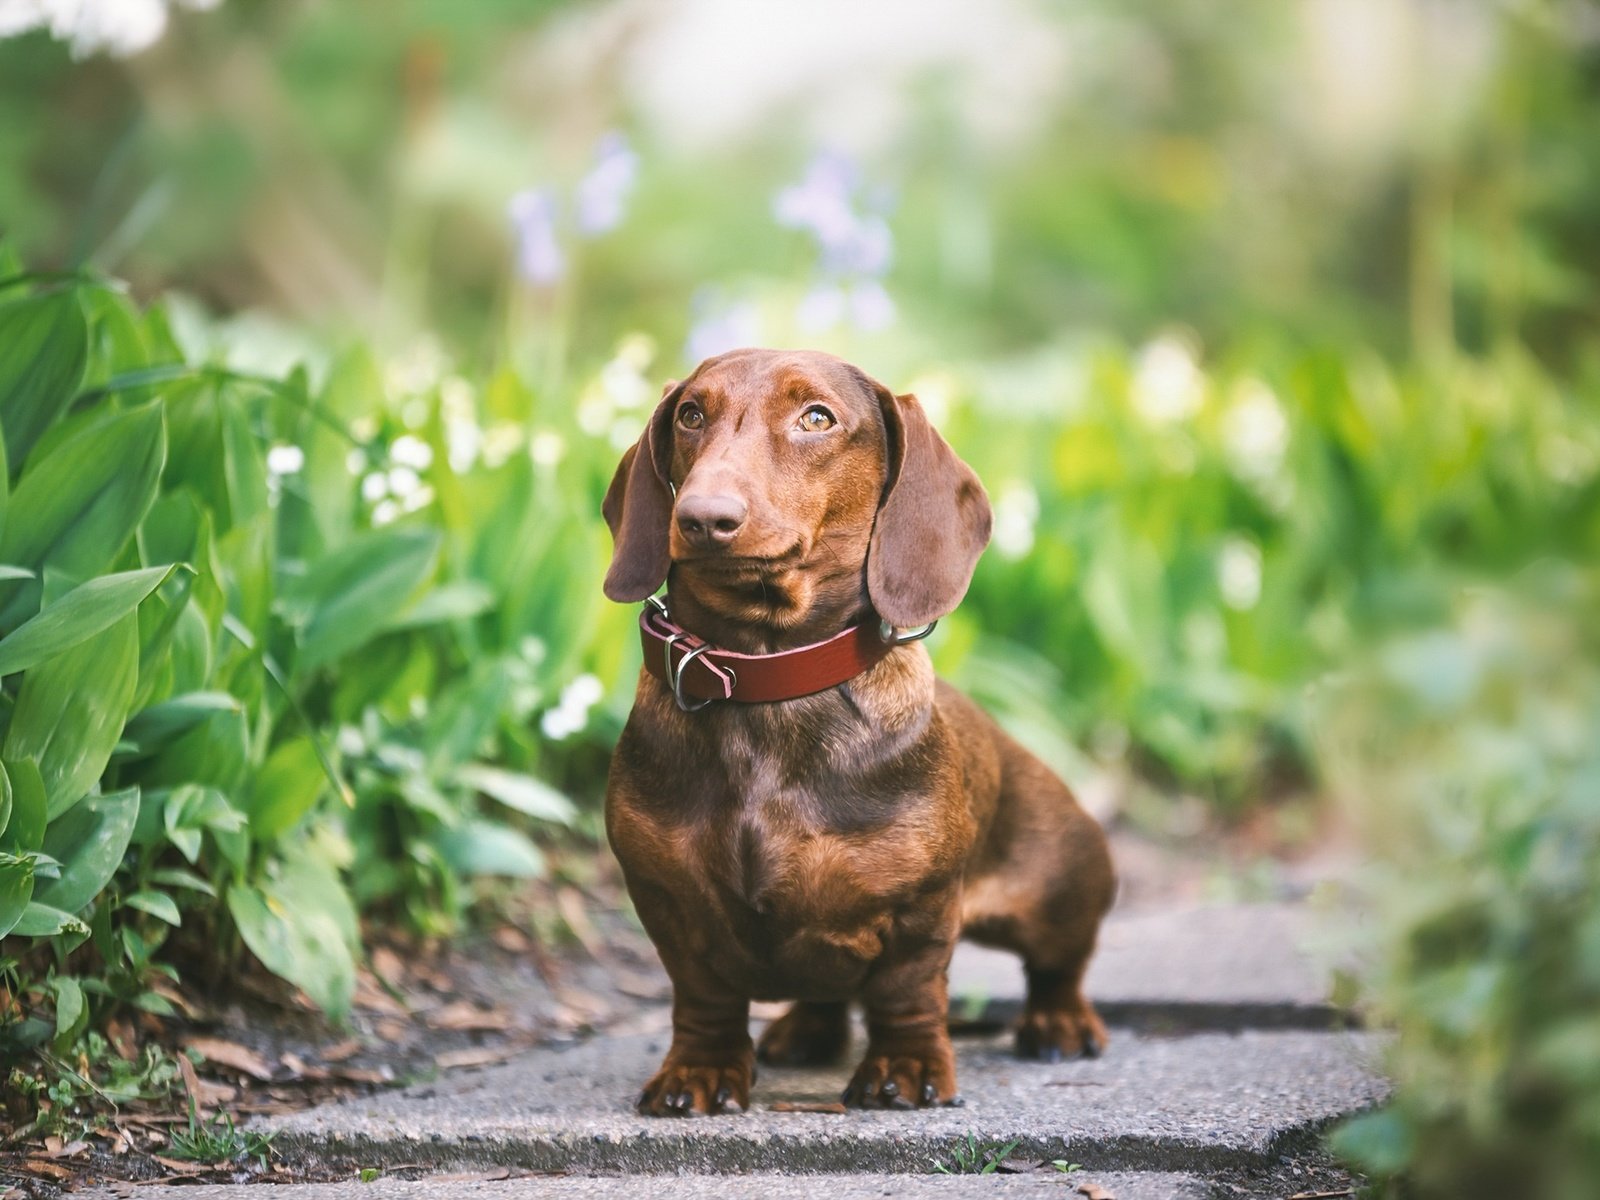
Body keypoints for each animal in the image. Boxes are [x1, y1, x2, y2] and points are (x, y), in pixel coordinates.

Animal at [601, 347, 1113, 1120]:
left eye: (817, 418)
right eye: (690, 414)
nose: (702, 517)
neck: (768, 679)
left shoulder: (920, 910)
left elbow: (907, 992)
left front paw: (906, 1067)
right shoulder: (668, 905)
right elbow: (703, 997)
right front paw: (700, 1069)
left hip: (1061, 892)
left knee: (1060, 966)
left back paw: (1059, 1022)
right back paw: (802, 1029)